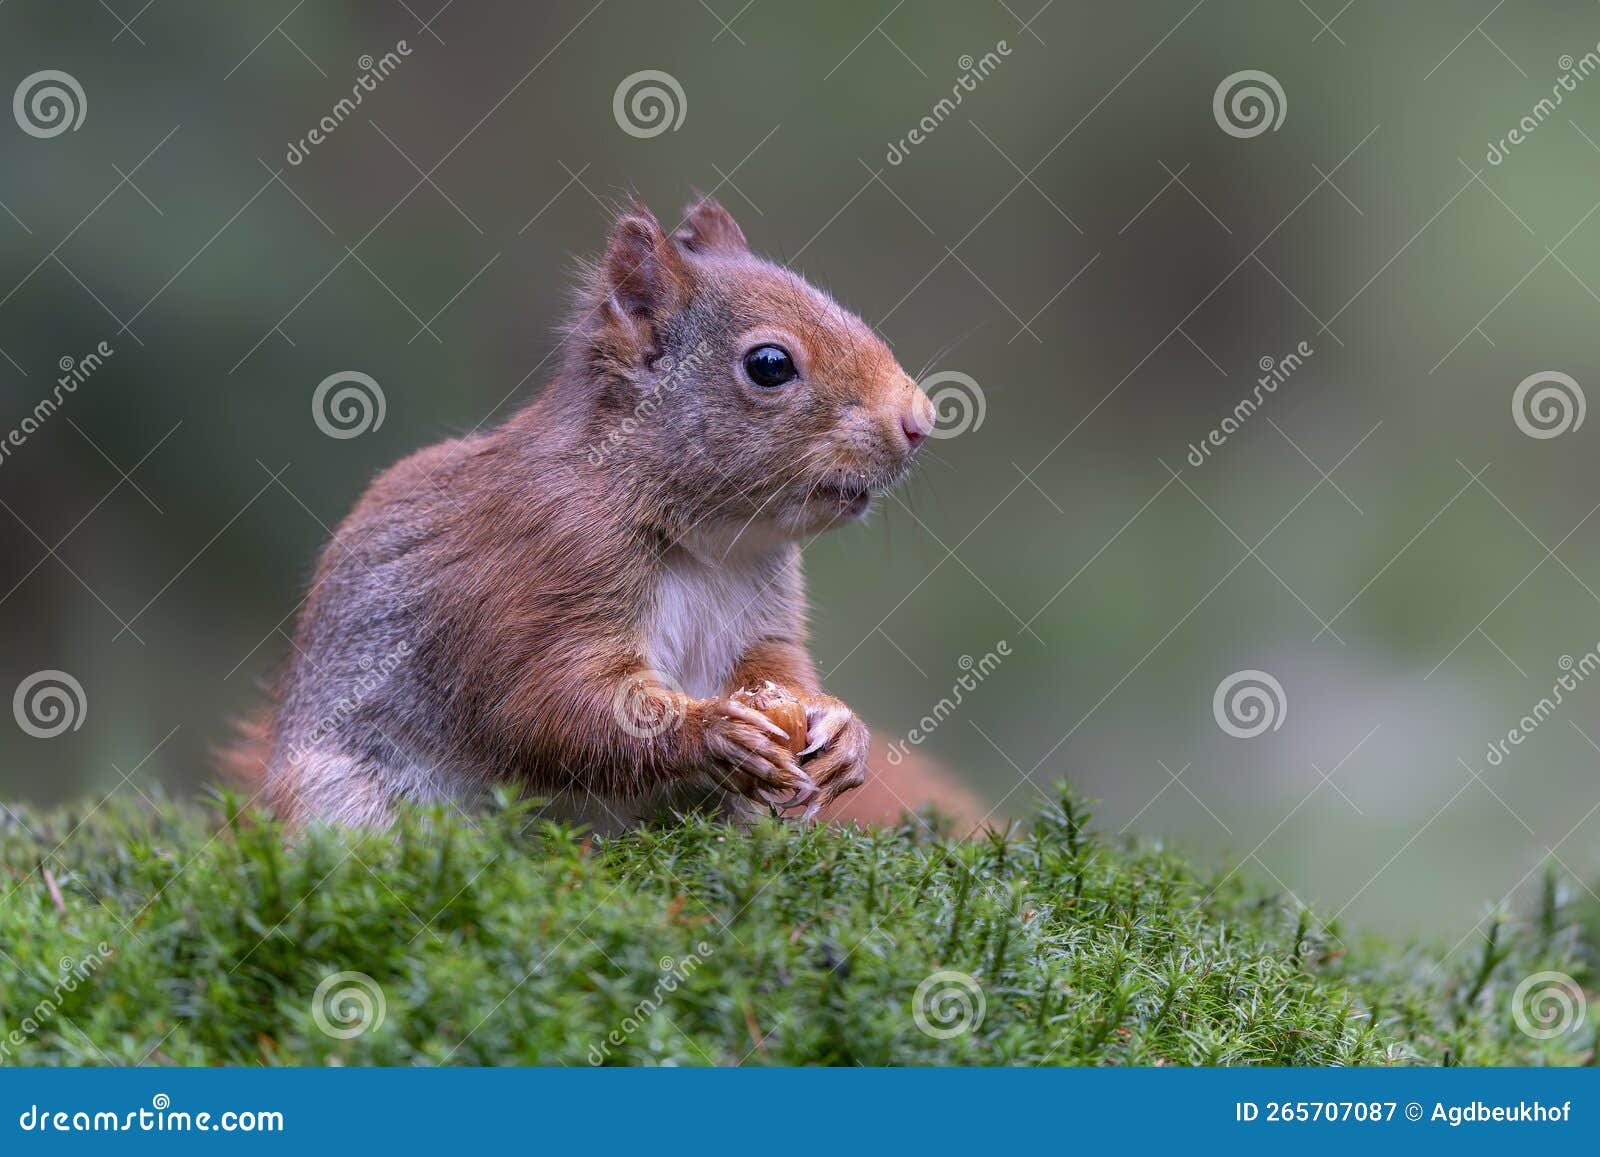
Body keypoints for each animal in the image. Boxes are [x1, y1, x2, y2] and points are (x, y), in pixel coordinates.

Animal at [224, 197, 985, 832]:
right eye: (769, 365)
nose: (920, 420)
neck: (709, 542)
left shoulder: (766, 611)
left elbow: (778, 666)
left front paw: (844, 735)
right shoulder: (549, 562)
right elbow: (546, 703)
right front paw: (712, 732)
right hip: (346, 795)